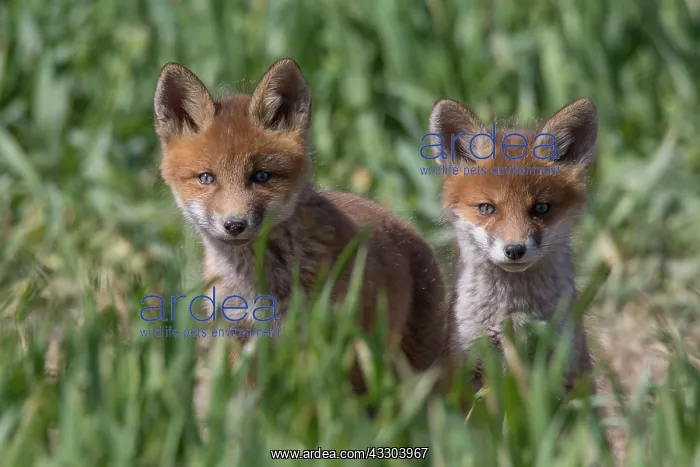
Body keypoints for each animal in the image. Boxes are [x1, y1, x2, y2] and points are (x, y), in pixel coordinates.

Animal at [428, 97, 598, 391]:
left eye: (541, 208)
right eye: (487, 208)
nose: (515, 250)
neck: (511, 315)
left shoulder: (564, 360)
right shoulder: (466, 360)